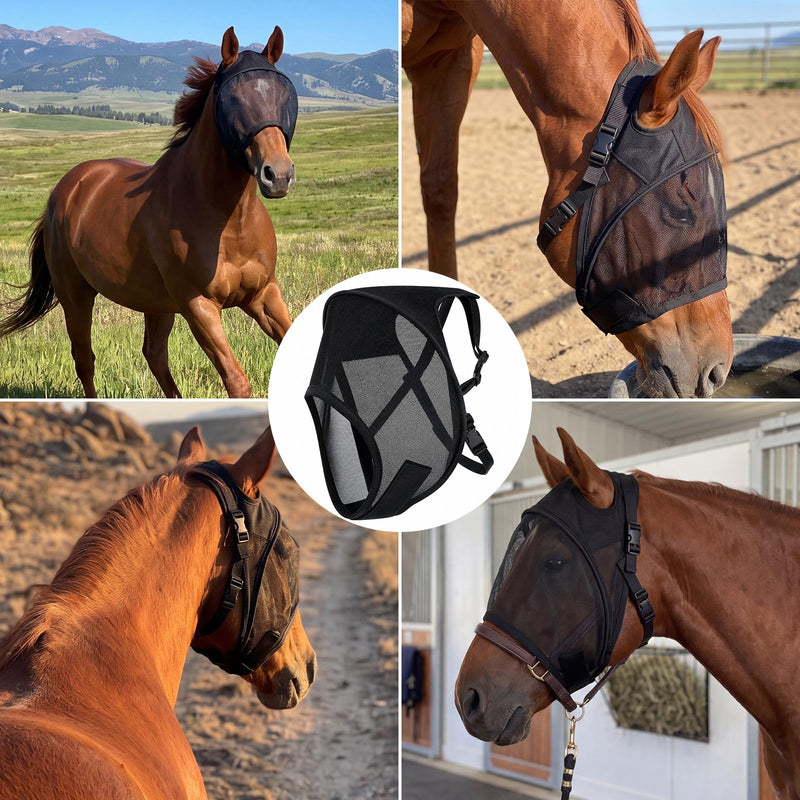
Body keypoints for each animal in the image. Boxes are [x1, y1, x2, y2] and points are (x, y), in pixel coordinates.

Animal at [0, 26, 296, 399]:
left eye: (284, 95)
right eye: (235, 100)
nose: (278, 174)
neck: (227, 219)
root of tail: (64, 190)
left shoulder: (263, 294)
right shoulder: (199, 307)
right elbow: (236, 381)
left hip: (156, 304)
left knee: (154, 356)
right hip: (76, 295)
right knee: (85, 359)